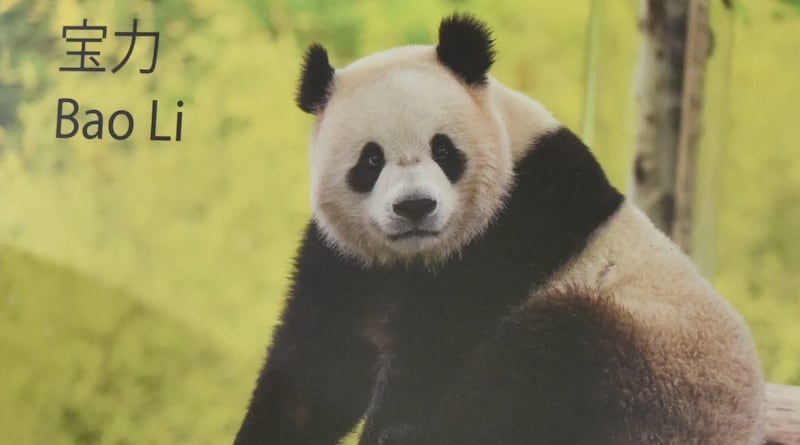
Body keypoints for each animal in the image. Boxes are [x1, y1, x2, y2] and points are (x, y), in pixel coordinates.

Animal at [235, 14, 765, 445]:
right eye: (370, 160)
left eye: (443, 149)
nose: (415, 207)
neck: (415, 258)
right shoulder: (348, 262)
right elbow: (315, 363)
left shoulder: (515, 227)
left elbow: (435, 352)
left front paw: (393, 424)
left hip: (656, 369)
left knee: (549, 355)